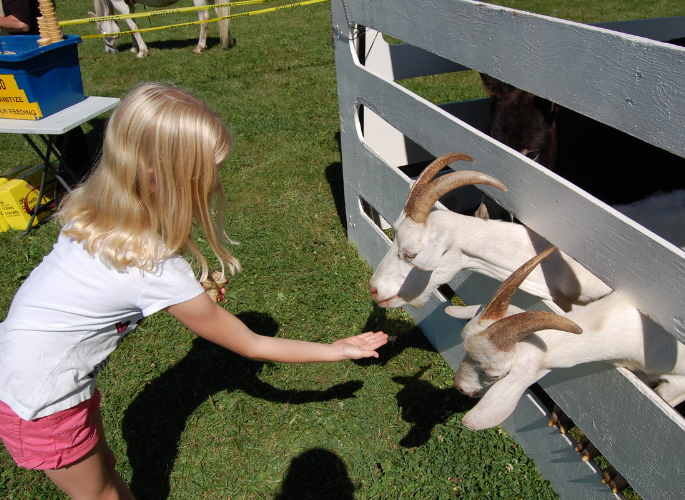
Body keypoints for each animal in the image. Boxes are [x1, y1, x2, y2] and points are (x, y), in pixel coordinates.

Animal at [91, 0, 235, 58]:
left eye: (100, 31)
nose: (109, 51)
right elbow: (132, 24)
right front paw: (134, 47)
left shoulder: (120, 3)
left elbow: (133, 26)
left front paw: (142, 52)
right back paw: (228, 41)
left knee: (205, 17)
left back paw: (199, 47)